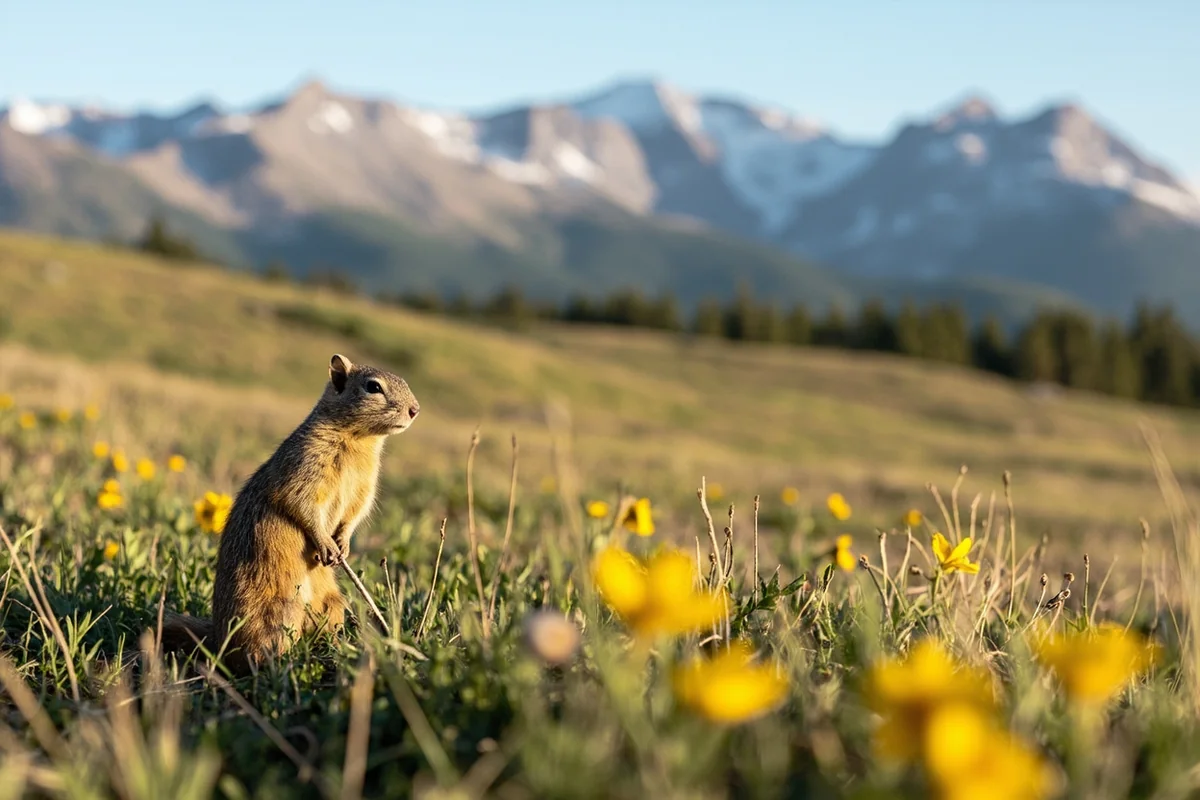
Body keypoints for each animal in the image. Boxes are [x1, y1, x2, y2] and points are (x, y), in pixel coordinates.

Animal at [160, 353, 419, 671]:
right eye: (373, 387)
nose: (415, 410)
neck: (357, 442)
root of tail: (218, 639)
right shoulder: (302, 472)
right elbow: (303, 507)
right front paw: (326, 545)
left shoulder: (364, 489)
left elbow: (354, 514)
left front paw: (343, 544)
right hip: (281, 614)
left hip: (333, 605)